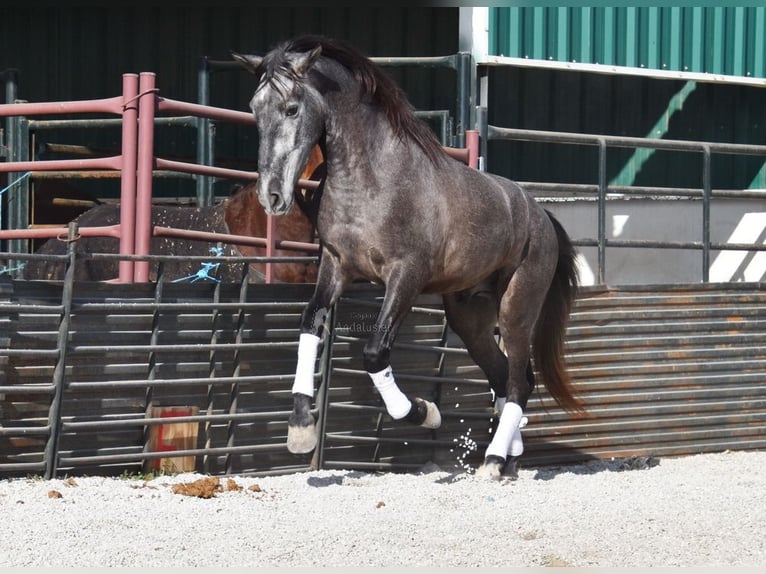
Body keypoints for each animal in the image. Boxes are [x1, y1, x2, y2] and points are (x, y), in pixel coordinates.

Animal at [233, 35, 582, 480]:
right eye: (253, 108)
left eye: (292, 108)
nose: (271, 197)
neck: (374, 179)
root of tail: (542, 215)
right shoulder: (335, 266)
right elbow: (309, 325)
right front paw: (300, 429)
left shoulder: (406, 277)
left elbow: (374, 352)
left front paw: (424, 411)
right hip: (469, 318)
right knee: (505, 377)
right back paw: (510, 457)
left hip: (516, 309)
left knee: (519, 382)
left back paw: (492, 461)